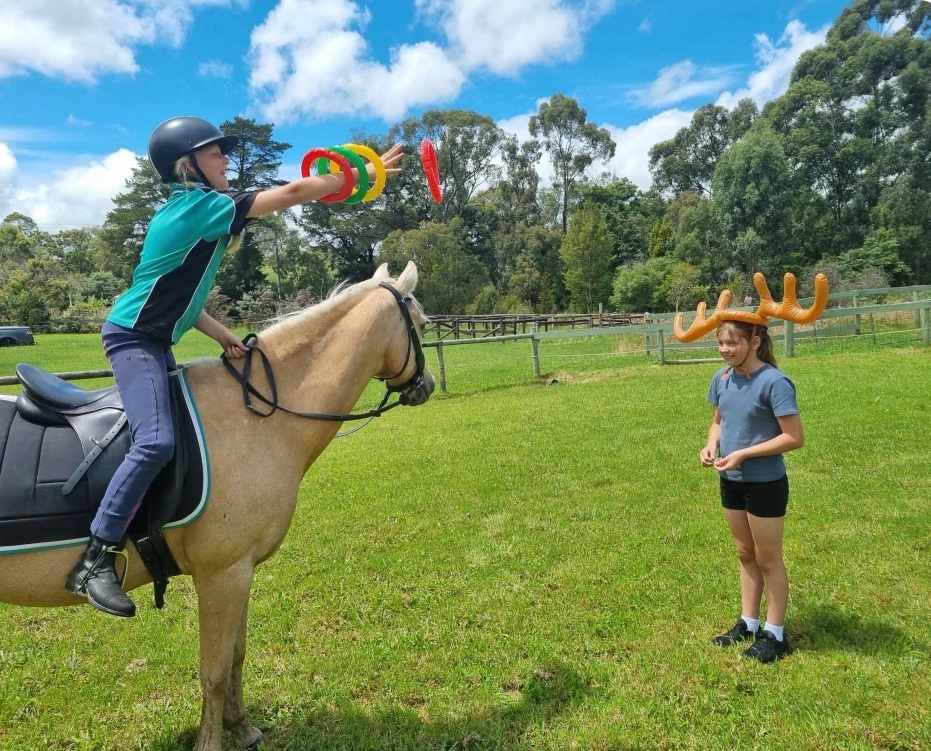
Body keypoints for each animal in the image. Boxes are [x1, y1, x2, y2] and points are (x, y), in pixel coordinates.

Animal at [0, 261, 435, 751]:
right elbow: (214, 670)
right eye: (421, 325)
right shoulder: (221, 574)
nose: (427, 385)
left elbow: (237, 656)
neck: (259, 418)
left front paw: (241, 726)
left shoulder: (241, 570)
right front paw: (211, 740)